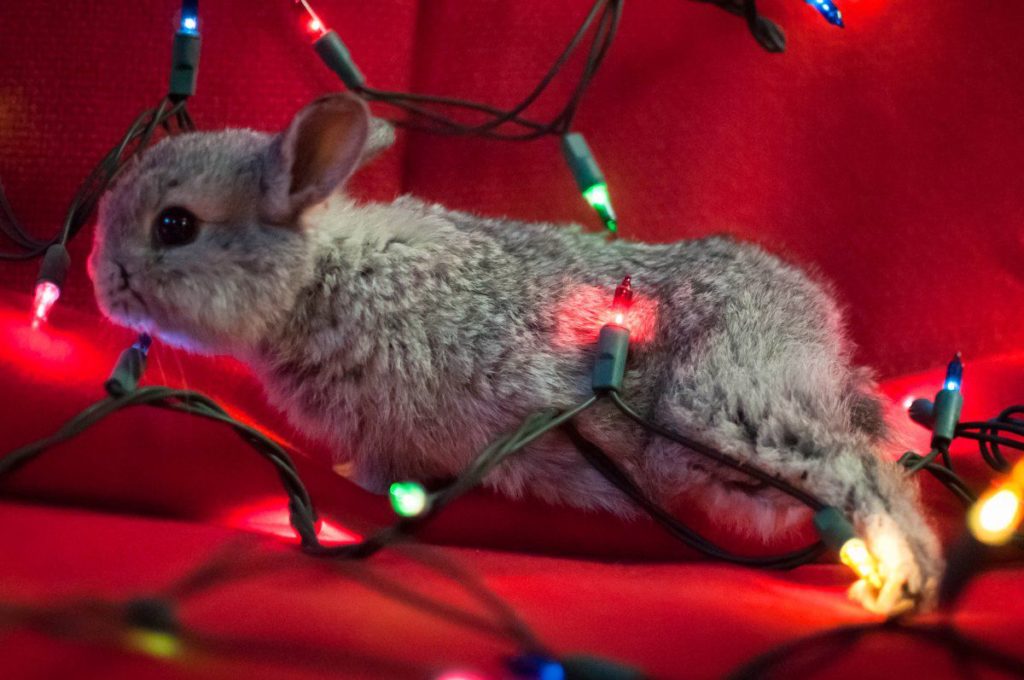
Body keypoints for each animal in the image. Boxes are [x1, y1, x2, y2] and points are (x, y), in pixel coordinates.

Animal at [89, 93, 943, 616]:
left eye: (175, 225)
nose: (100, 280)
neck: (315, 281)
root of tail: (821, 331)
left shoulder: (393, 434)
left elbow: (377, 470)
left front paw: (349, 484)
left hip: (725, 410)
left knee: (864, 474)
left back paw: (900, 580)